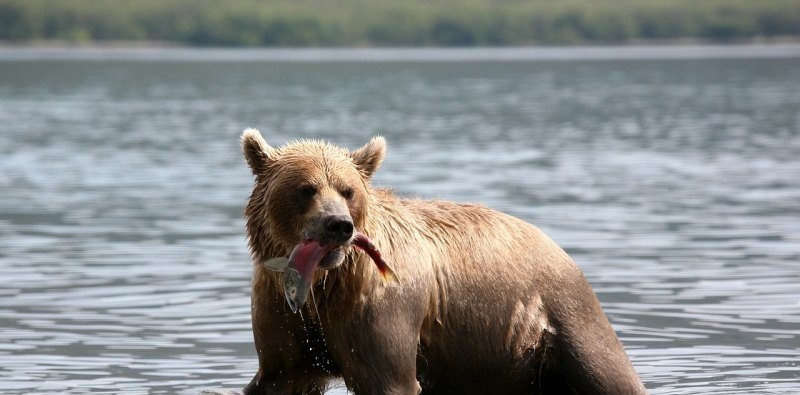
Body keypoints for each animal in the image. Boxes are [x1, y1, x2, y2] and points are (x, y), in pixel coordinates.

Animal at [241, 130, 648, 395]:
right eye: (306, 189)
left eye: (347, 190)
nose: (338, 225)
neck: (325, 283)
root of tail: (555, 243)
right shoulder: (282, 311)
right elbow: (282, 376)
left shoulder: (379, 307)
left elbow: (387, 378)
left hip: (564, 312)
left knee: (608, 373)